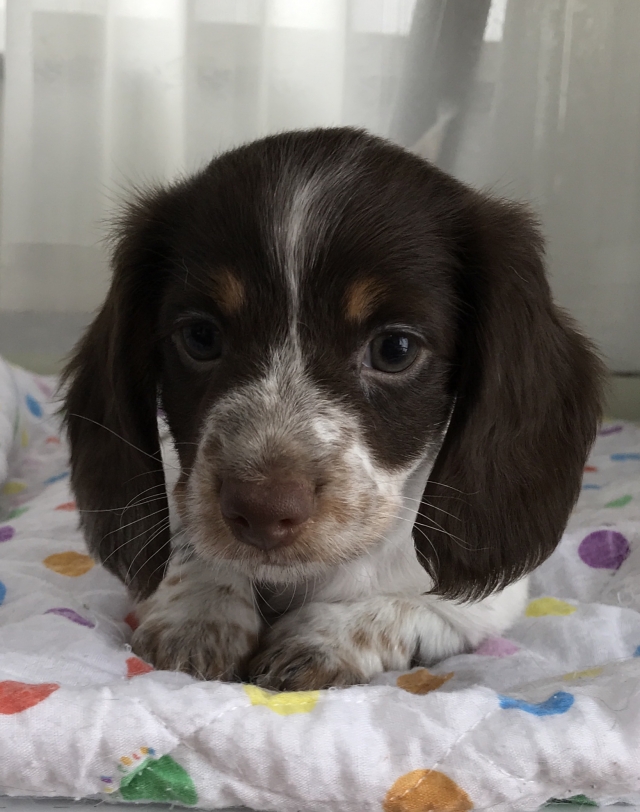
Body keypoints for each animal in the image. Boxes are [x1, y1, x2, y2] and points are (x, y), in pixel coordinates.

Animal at [61, 128, 604, 692]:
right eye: (201, 337)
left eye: (395, 349)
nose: (262, 510)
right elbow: (187, 542)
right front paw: (199, 613)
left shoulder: (484, 608)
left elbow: (404, 607)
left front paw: (325, 637)